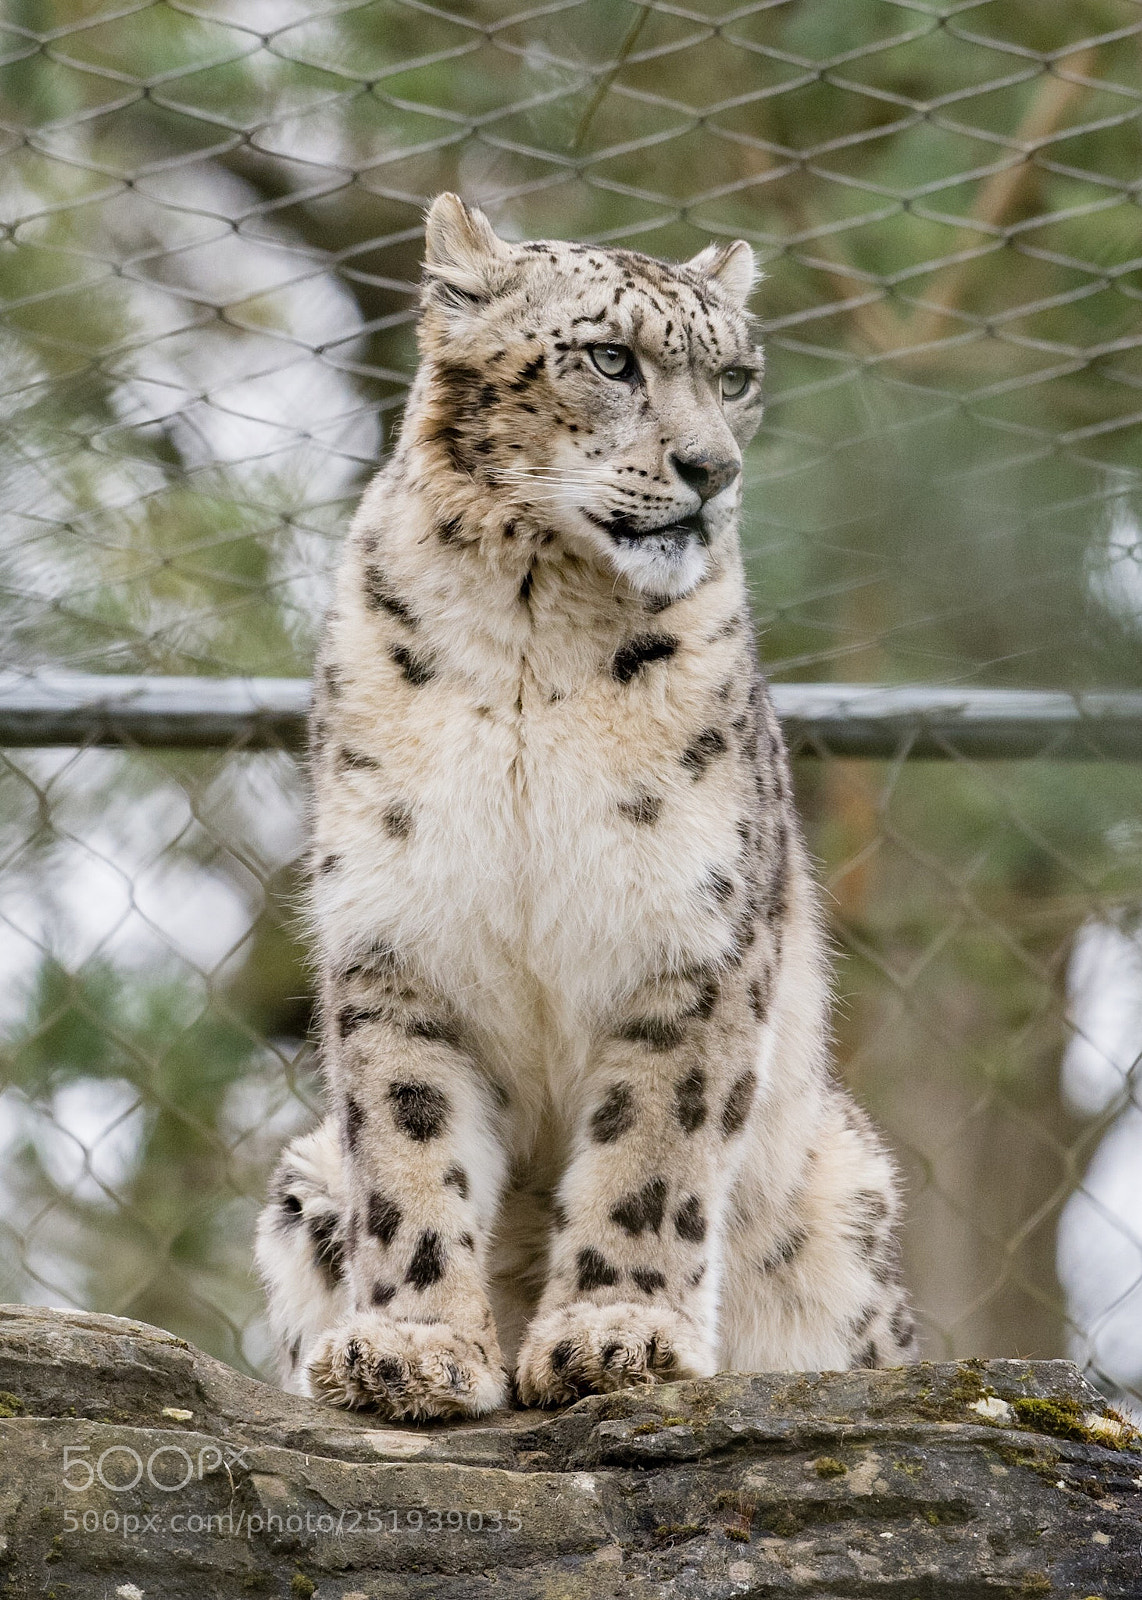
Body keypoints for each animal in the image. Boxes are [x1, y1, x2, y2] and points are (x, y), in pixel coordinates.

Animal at [254, 193, 918, 1420]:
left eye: (735, 376)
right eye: (612, 358)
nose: (710, 469)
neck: (529, 630)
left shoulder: (692, 937)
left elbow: (651, 1144)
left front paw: (616, 1335)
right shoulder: (396, 937)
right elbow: (409, 1150)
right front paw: (412, 1348)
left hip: (848, 1189)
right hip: (304, 1171)